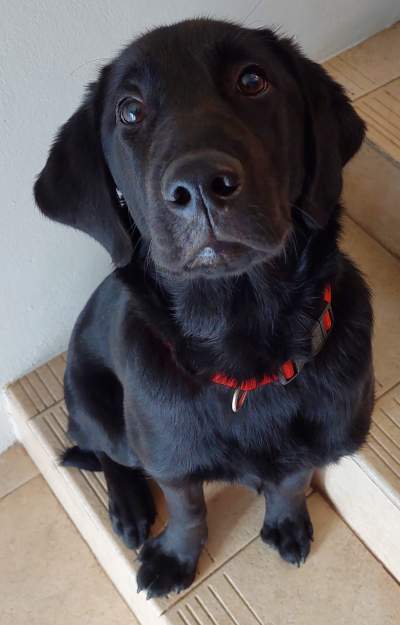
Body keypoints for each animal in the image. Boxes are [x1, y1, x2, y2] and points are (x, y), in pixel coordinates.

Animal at [33, 18, 372, 596]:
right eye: (129, 110)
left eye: (252, 79)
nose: (200, 185)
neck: (243, 343)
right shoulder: (168, 458)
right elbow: (188, 508)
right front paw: (174, 558)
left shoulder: (319, 439)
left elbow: (292, 477)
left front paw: (286, 522)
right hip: (99, 412)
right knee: (108, 454)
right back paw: (129, 508)